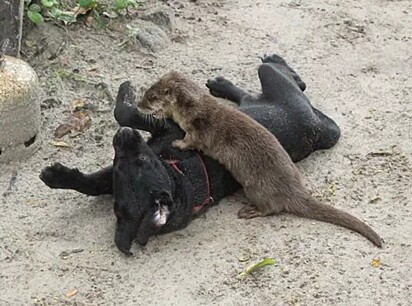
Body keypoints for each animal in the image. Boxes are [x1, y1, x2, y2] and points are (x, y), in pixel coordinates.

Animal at [138, 70, 384, 247]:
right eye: (146, 91)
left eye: (151, 97)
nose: (139, 105)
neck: (194, 109)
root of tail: (294, 189)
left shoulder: (199, 130)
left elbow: (192, 142)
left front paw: (177, 143)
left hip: (255, 187)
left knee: (272, 208)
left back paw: (249, 211)